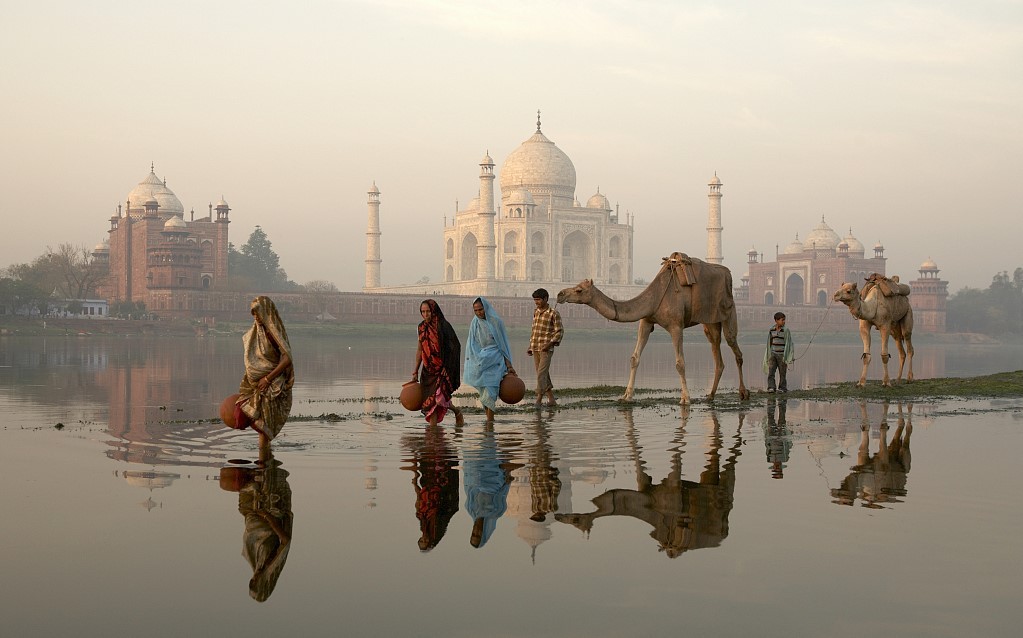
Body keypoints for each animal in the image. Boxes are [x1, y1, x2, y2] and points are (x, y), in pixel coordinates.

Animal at [560, 250, 752, 402]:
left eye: (579, 290)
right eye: (576, 285)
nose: (561, 293)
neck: (654, 297)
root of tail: (728, 275)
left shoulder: (676, 326)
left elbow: (680, 363)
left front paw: (685, 398)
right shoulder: (646, 321)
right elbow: (634, 358)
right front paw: (626, 396)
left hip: (729, 311)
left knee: (735, 346)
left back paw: (743, 393)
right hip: (710, 320)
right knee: (716, 350)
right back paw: (711, 395)